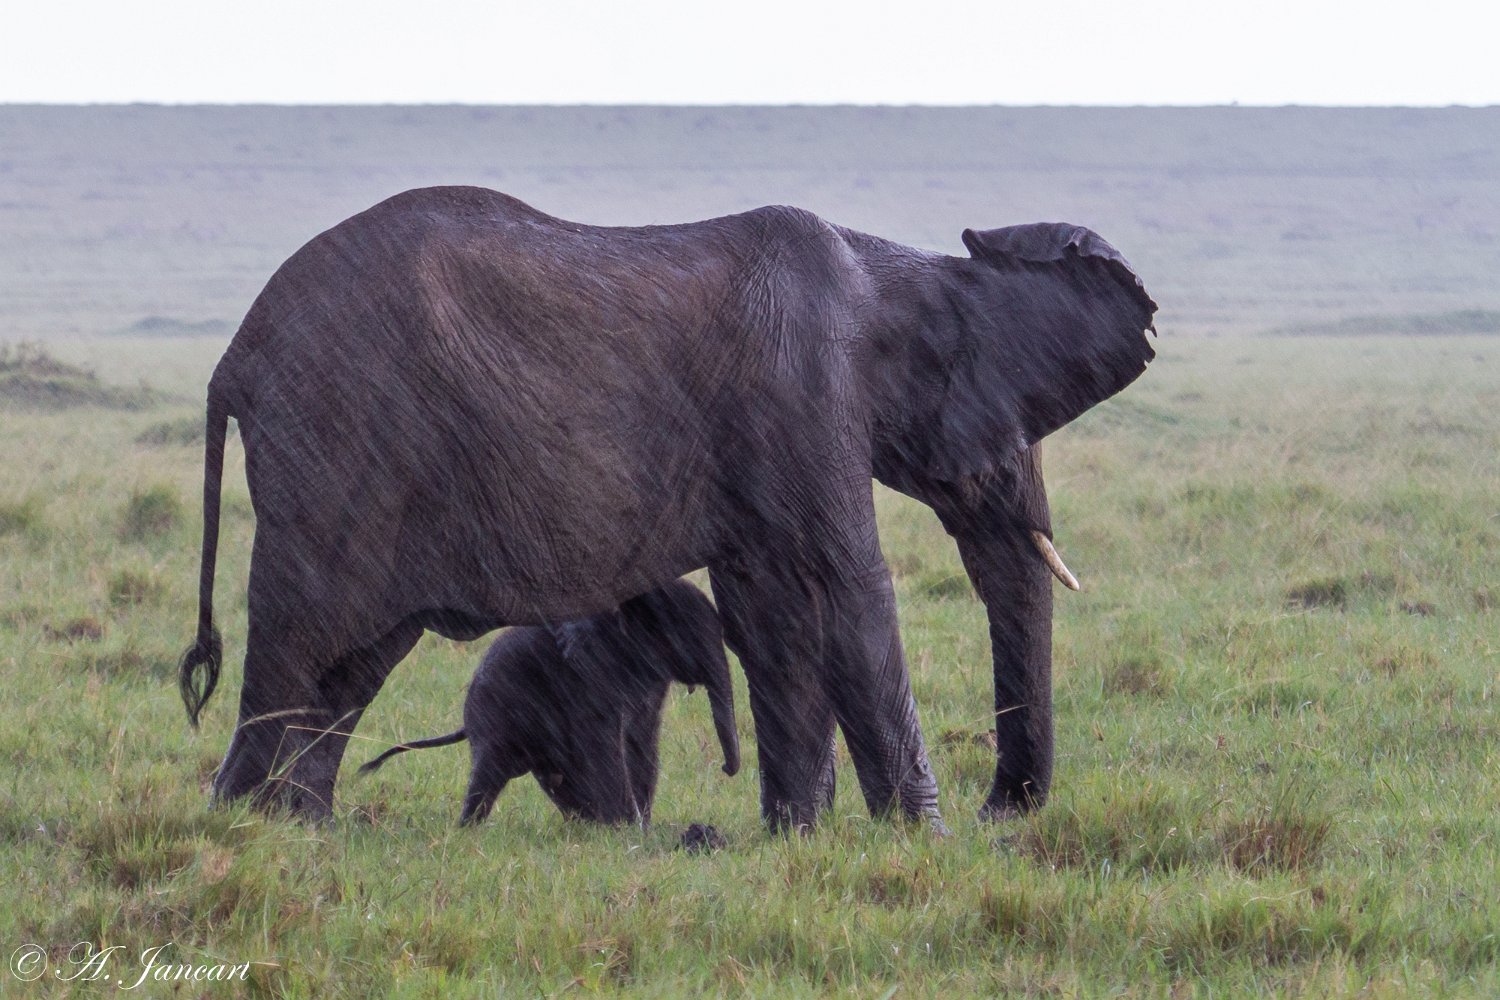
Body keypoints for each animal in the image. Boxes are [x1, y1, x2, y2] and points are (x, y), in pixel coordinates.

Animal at [357, 579, 741, 826]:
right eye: (688, 635)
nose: (726, 769)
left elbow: (641, 740)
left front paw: (638, 826)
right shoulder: (593, 673)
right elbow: (605, 740)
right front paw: (627, 827)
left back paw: (582, 823)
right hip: (494, 716)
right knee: (490, 770)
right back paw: (468, 828)